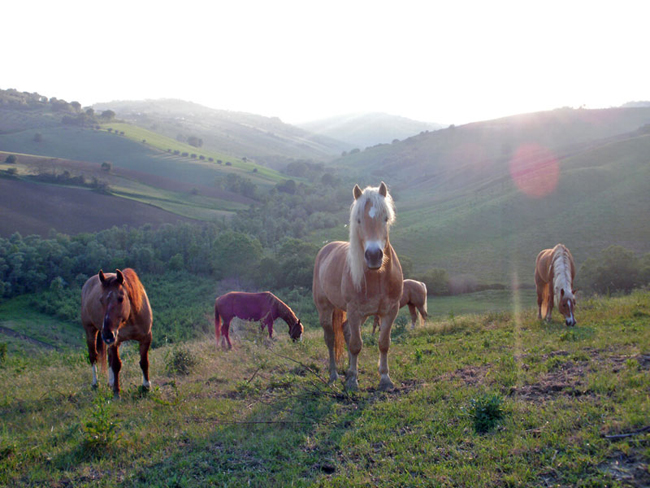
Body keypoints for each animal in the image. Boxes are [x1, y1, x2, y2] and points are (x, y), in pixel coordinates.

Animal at [79, 268, 152, 398]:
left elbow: (144, 362)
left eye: (121, 298)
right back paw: (95, 384)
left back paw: (111, 382)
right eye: (101, 300)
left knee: (109, 357)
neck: (131, 318)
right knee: (93, 356)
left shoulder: (146, 338)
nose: (107, 334)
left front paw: (146, 386)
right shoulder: (115, 341)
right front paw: (117, 391)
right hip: (90, 331)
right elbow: (116, 364)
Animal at [312, 181, 402, 390]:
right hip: (325, 309)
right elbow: (355, 344)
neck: (378, 276)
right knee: (330, 338)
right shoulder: (354, 310)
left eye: (385, 218)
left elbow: (383, 343)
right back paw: (334, 375)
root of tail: (326, 249)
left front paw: (385, 379)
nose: (374, 255)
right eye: (359, 220)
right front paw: (352, 381)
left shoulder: (390, 311)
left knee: (345, 331)